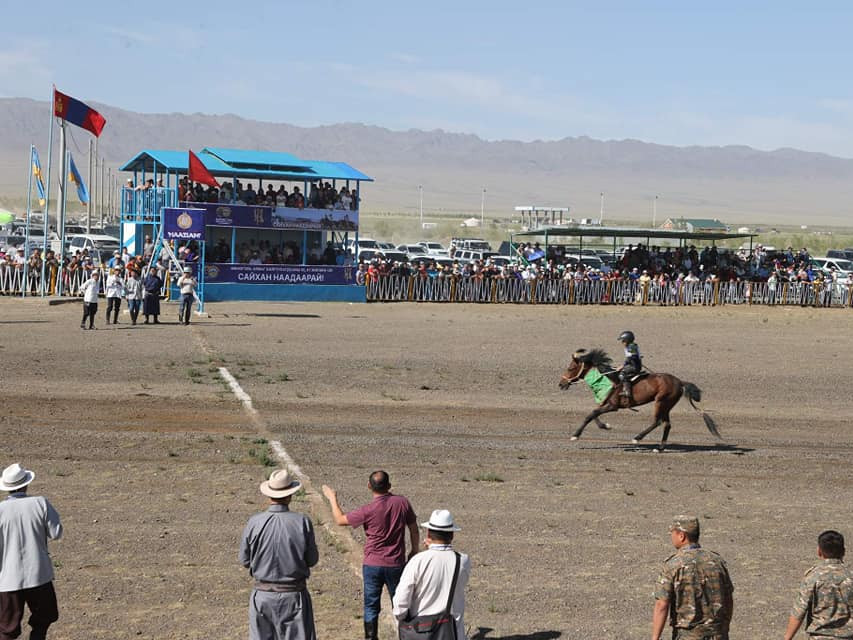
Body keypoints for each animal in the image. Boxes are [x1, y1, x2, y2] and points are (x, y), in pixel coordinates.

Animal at [560, 350, 720, 450]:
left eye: (571, 368)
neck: (608, 379)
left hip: (661, 402)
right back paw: (660, 448)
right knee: (667, 424)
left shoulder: (612, 406)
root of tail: (680, 382)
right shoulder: (604, 403)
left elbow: (591, 414)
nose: (561, 384)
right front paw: (605, 426)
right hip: (667, 406)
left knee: (658, 421)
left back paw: (638, 437)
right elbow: (593, 414)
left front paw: (575, 435)